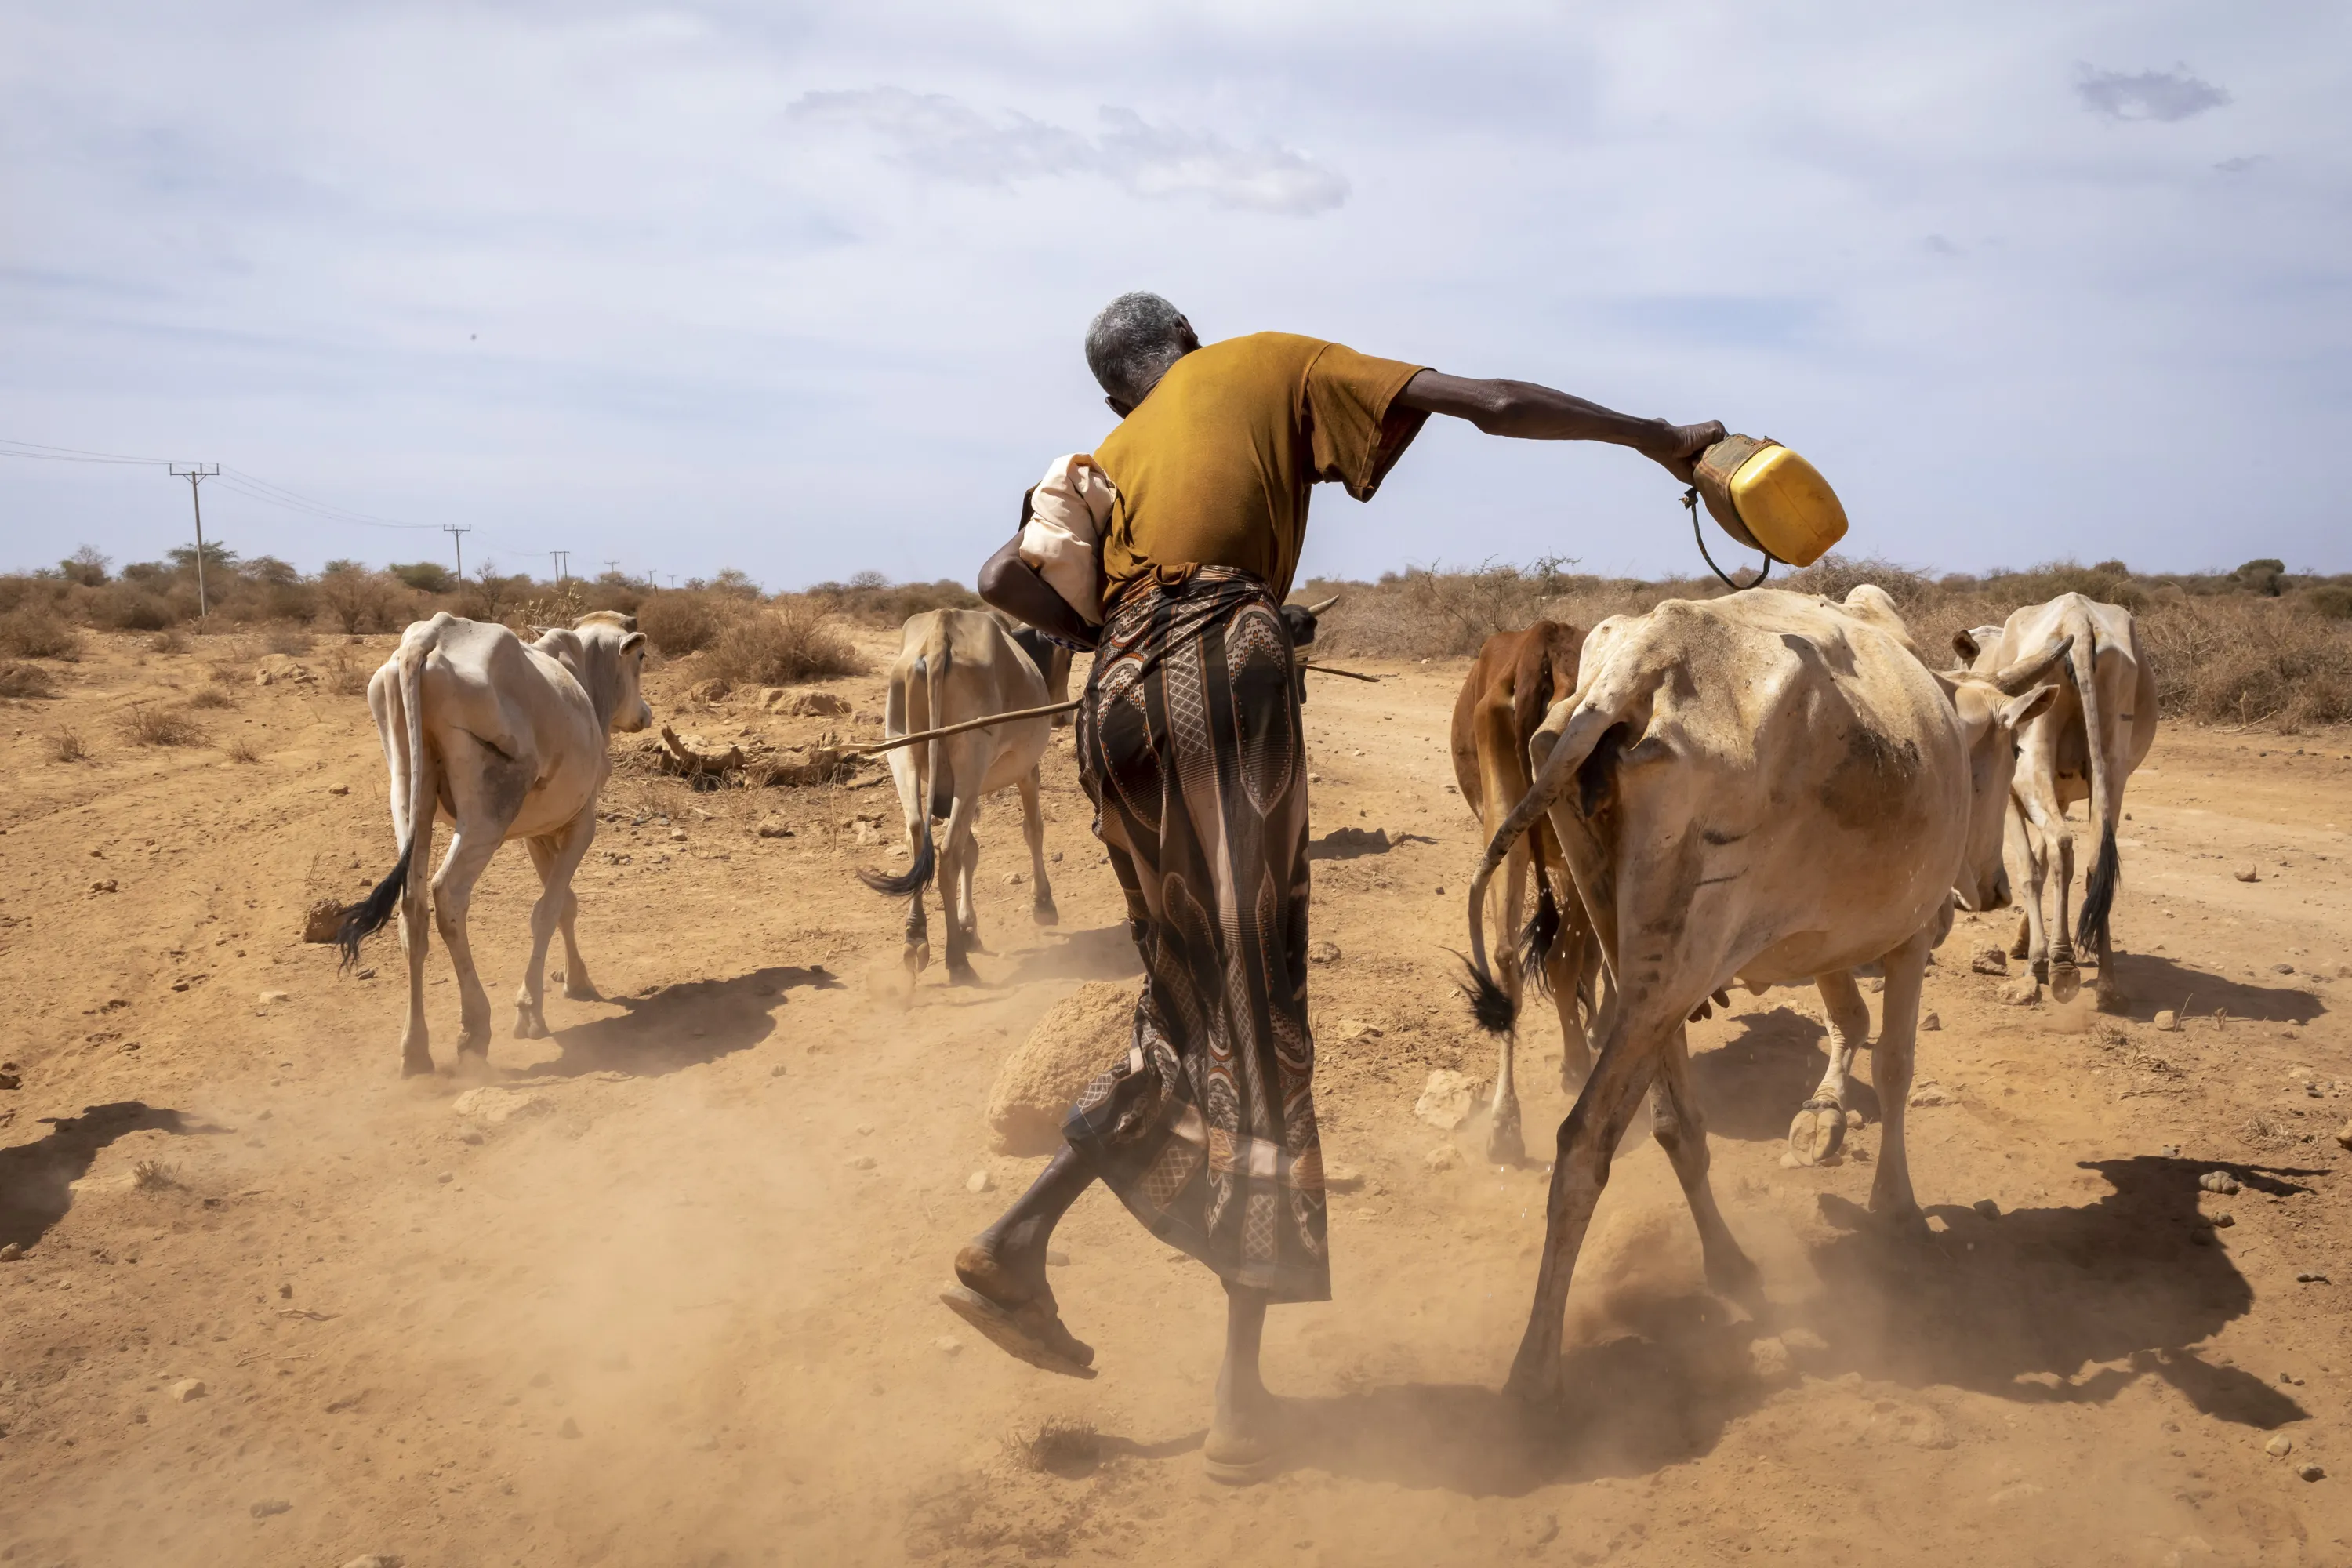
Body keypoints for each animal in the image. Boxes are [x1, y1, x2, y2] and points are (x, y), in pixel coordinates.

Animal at [336, 611, 649, 1081]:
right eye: (641, 659)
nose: (645, 714)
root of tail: (428, 637)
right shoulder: (581, 825)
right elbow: (549, 910)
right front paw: (531, 1010)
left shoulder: (540, 832)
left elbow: (565, 905)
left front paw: (576, 980)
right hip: (489, 809)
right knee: (447, 894)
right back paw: (474, 1031)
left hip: (408, 795)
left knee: (412, 908)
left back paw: (416, 1050)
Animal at [861, 611, 1073, 982]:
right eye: (1069, 660)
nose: (1064, 714)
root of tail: (938, 633)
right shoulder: (1027, 771)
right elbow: (1032, 830)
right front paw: (1044, 905)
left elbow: (970, 853)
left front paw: (967, 927)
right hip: (971, 759)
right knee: (947, 854)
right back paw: (956, 960)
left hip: (902, 750)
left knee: (918, 838)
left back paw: (916, 937)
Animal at [1439, 620, 1609, 1161]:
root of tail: (1540, 644)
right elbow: (1596, 954)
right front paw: (1598, 1026)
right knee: (1559, 958)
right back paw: (1575, 1065)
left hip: (1504, 822)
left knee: (1506, 953)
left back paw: (1504, 1123)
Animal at [1947, 594, 2154, 1011]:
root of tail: (2079, 617)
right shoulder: (2060, 794)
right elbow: (2043, 865)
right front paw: (2023, 943)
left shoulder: (2009, 795)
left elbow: (2031, 867)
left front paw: (2036, 957)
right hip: (2112, 768)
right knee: (2096, 861)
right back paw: (2107, 982)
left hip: (2034, 762)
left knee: (2061, 844)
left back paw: (2060, 964)